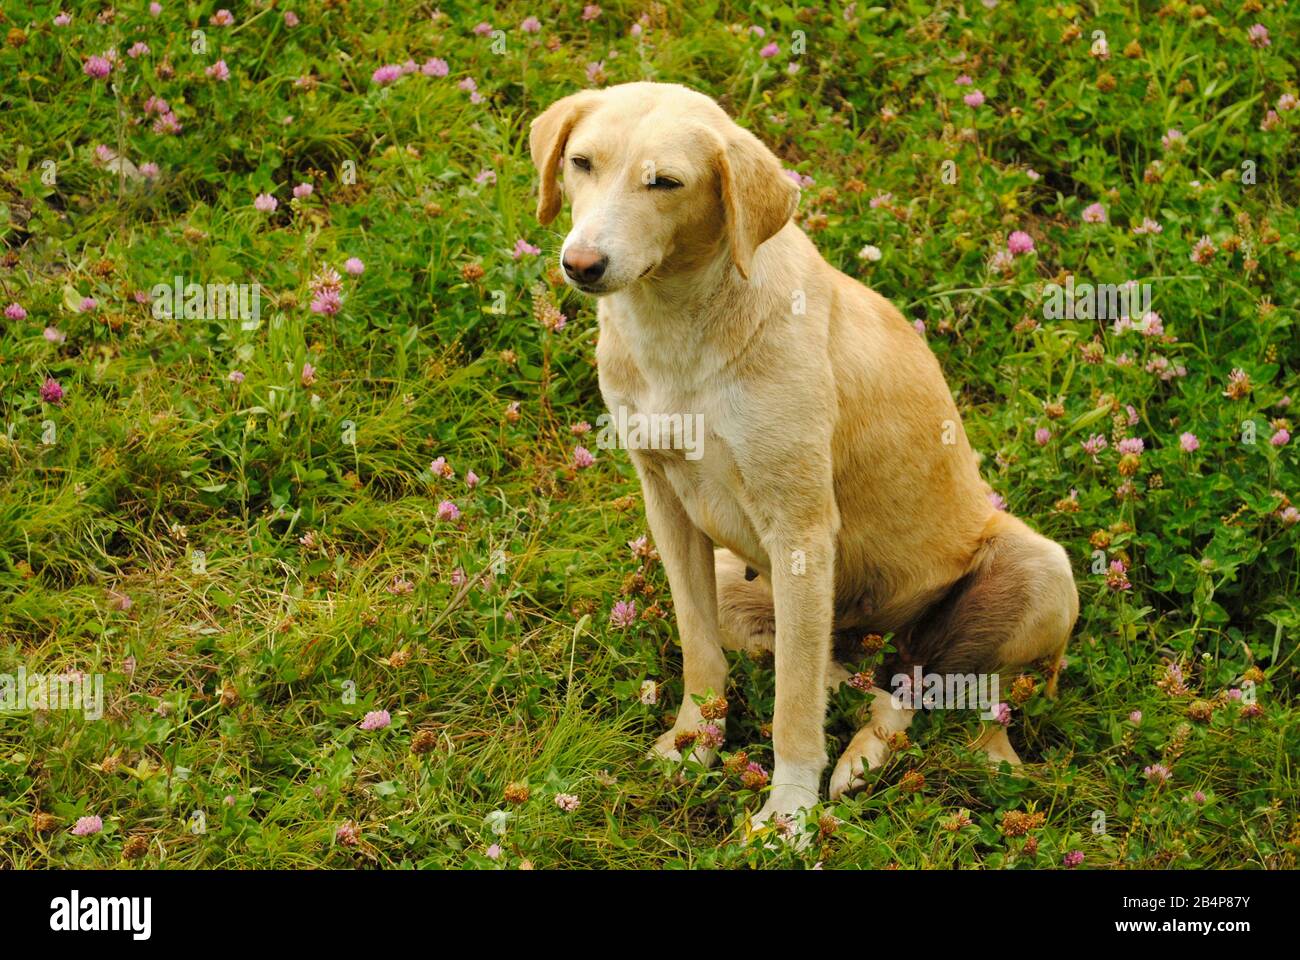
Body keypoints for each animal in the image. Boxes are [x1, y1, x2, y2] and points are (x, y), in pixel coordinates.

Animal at [527, 80, 1076, 832]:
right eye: (581, 163)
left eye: (665, 183)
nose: (581, 265)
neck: (680, 324)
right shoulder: (667, 504)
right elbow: (702, 653)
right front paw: (695, 746)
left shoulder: (801, 529)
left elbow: (791, 707)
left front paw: (787, 816)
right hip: (753, 592)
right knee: (872, 681)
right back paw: (858, 737)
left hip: (1041, 574)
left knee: (956, 695)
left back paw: (899, 761)